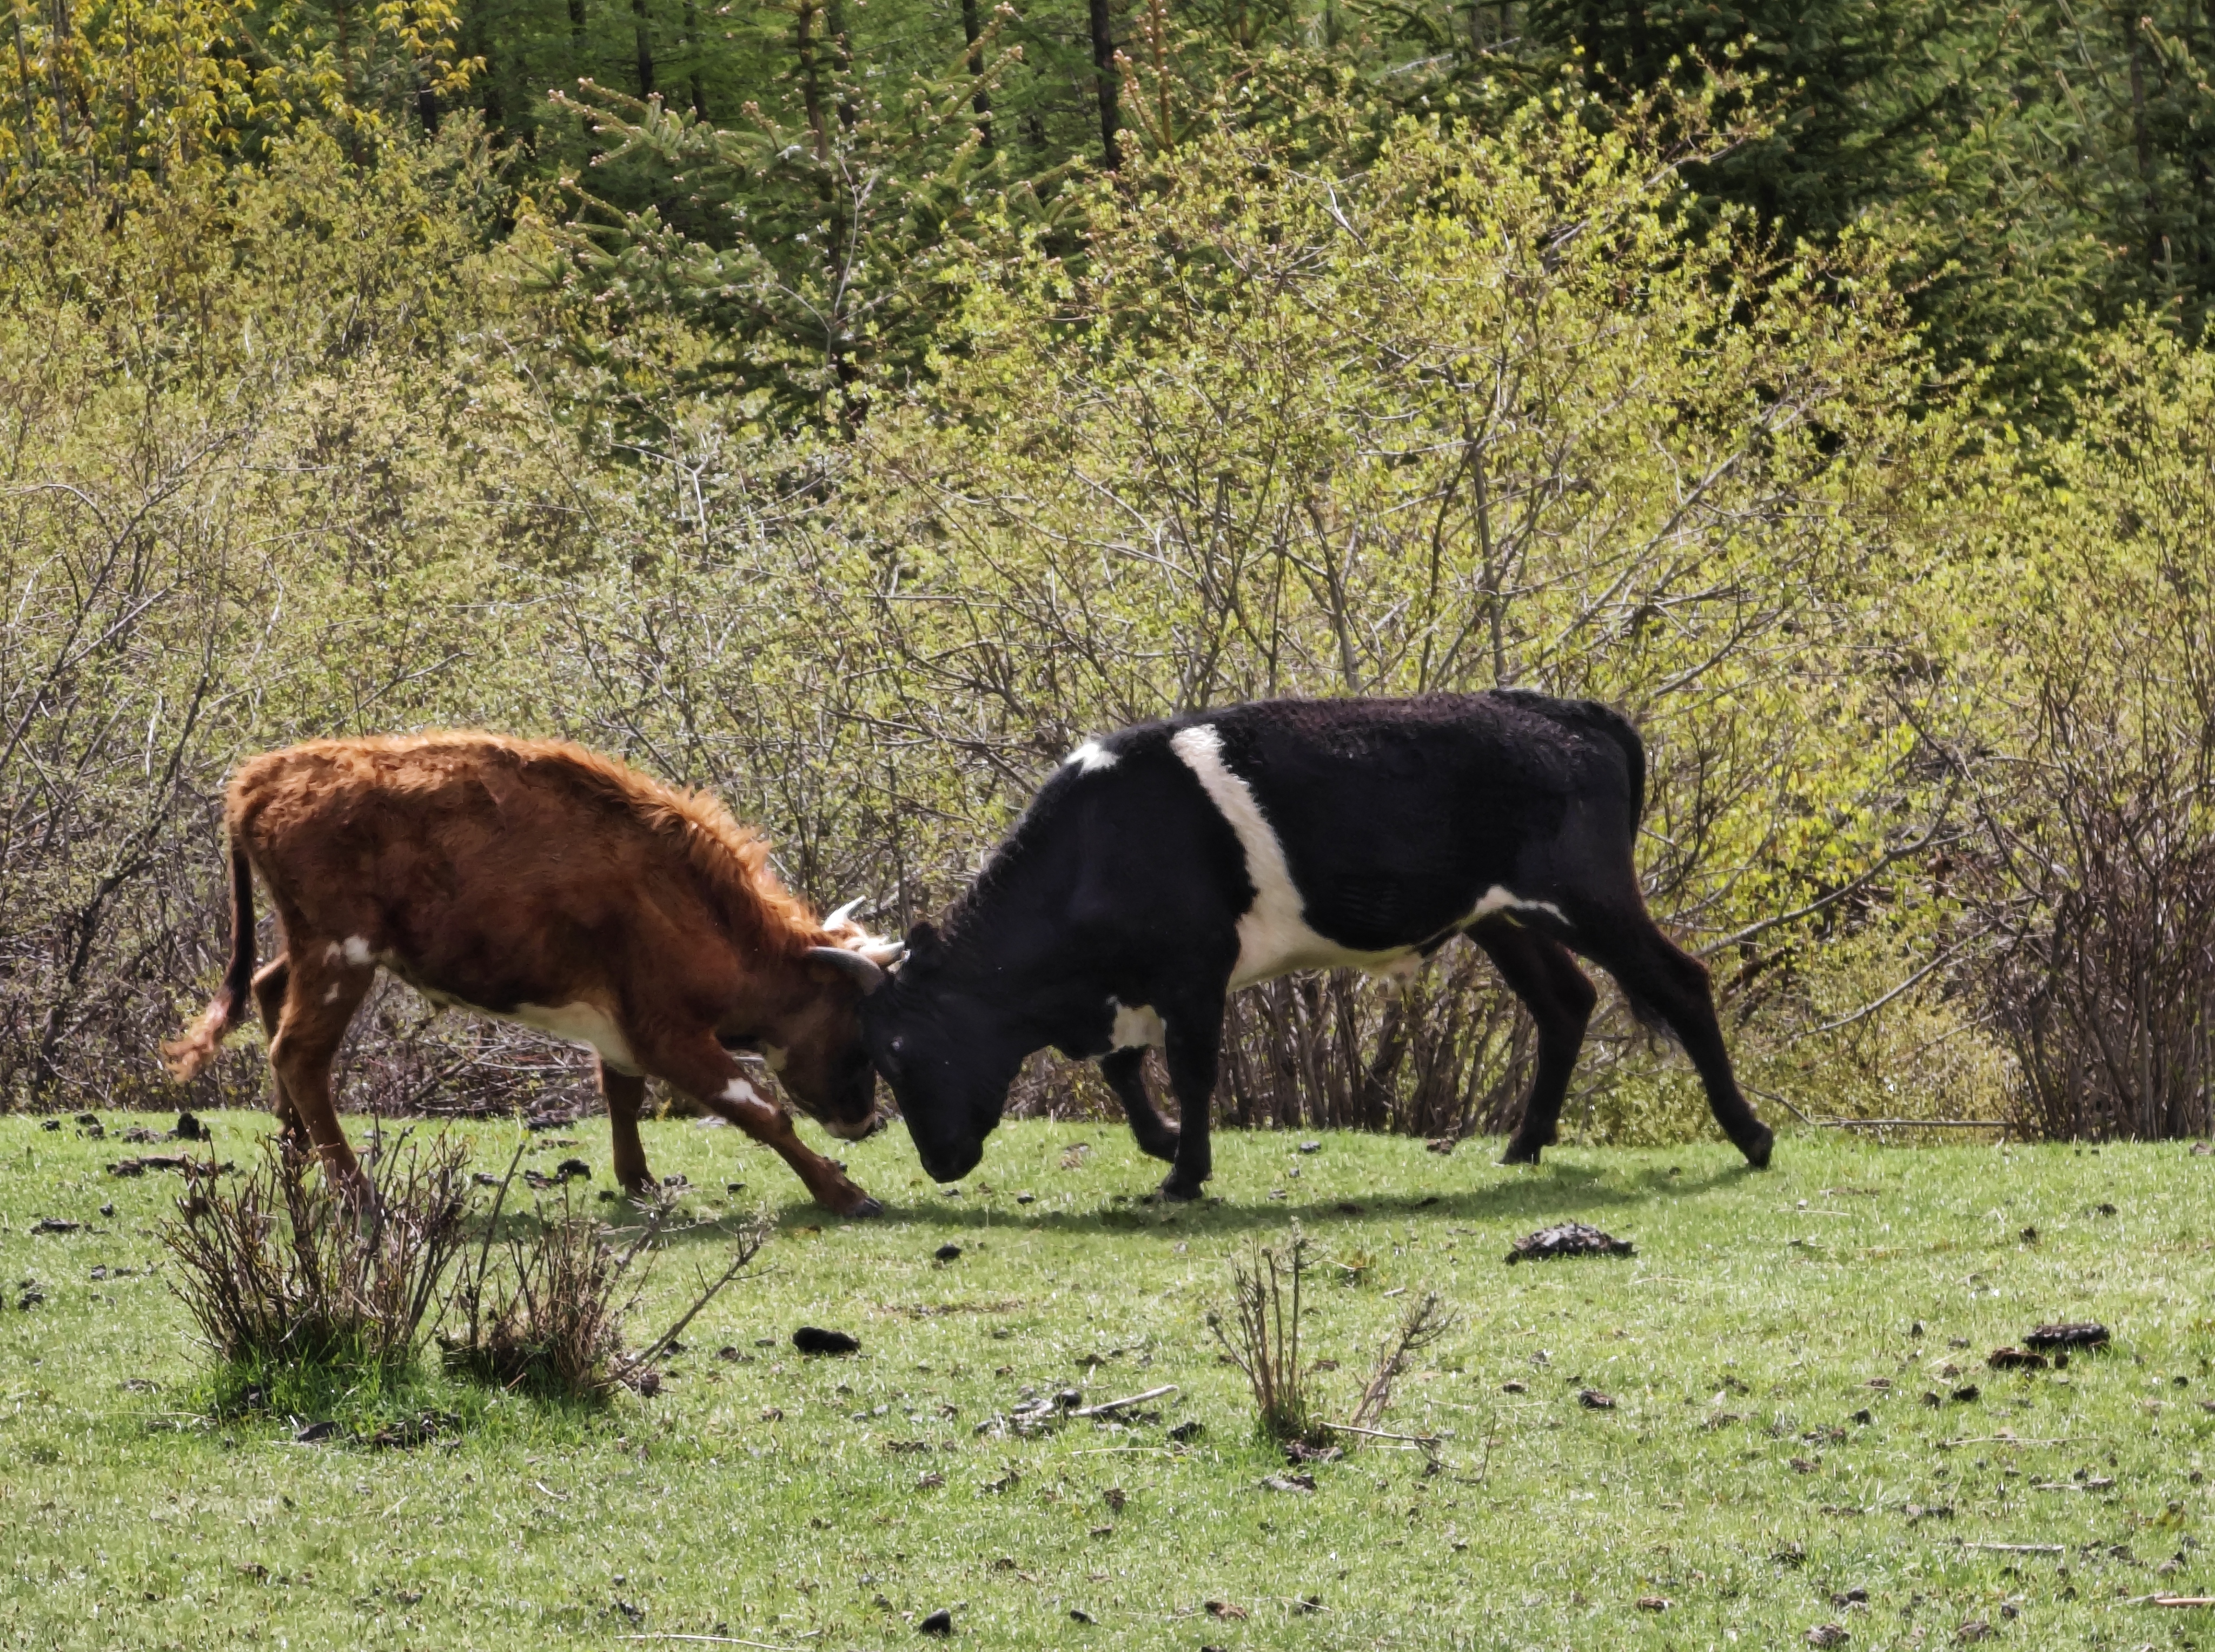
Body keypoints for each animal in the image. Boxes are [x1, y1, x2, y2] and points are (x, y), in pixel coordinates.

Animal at [158, 731, 899, 1213]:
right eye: (861, 1034)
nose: (865, 1122)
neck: (692, 902)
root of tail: (267, 773)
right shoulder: (669, 1031)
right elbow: (760, 1110)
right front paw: (842, 1191)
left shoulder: (622, 1026)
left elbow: (621, 1093)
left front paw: (638, 1180)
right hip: (344, 952)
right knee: (299, 1052)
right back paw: (355, 1191)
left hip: (315, 945)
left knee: (269, 992)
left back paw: (294, 1154)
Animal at [855, 686, 1772, 1187]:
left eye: (898, 1054)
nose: (937, 1163)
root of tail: (1563, 707)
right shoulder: (1135, 983)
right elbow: (1125, 1067)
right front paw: (1163, 1145)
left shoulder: (1195, 966)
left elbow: (1191, 1068)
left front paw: (1185, 1172)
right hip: (1501, 916)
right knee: (1567, 1002)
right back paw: (1522, 1143)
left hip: (1588, 897)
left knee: (1681, 982)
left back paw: (1751, 1135)